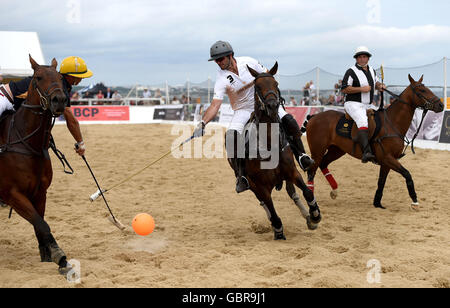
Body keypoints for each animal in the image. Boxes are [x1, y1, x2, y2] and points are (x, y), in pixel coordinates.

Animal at [0, 55, 72, 274]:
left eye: (60, 77)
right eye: (38, 77)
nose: (60, 100)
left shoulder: (40, 192)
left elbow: (40, 225)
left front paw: (50, 256)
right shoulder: (12, 194)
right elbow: (42, 224)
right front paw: (59, 256)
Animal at [229, 62, 324, 241]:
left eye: (276, 84)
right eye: (257, 86)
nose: (273, 106)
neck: (268, 143)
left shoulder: (292, 172)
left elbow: (307, 192)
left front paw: (315, 215)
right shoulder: (259, 185)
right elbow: (271, 208)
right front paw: (278, 229)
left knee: (292, 193)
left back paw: (308, 217)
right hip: (251, 185)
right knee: (264, 203)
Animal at [304, 74, 444, 209]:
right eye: (422, 90)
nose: (441, 105)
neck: (392, 123)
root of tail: (313, 117)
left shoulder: (387, 162)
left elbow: (381, 181)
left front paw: (377, 203)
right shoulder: (387, 158)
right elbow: (407, 174)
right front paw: (414, 201)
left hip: (337, 150)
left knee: (323, 164)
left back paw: (334, 190)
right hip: (317, 150)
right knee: (312, 171)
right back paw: (311, 198)